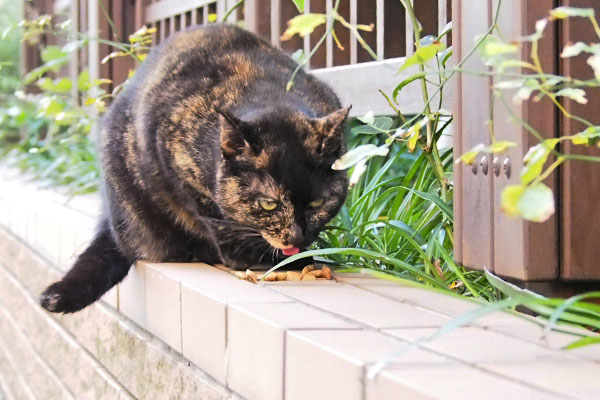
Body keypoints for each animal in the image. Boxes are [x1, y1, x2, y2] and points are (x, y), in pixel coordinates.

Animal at [39, 25, 350, 314]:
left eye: (318, 203)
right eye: (269, 204)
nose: (297, 237)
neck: (267, 93)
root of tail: (114, 224)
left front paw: (298, 257)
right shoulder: (169, 159)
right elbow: (211, 214)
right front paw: (248, 255)